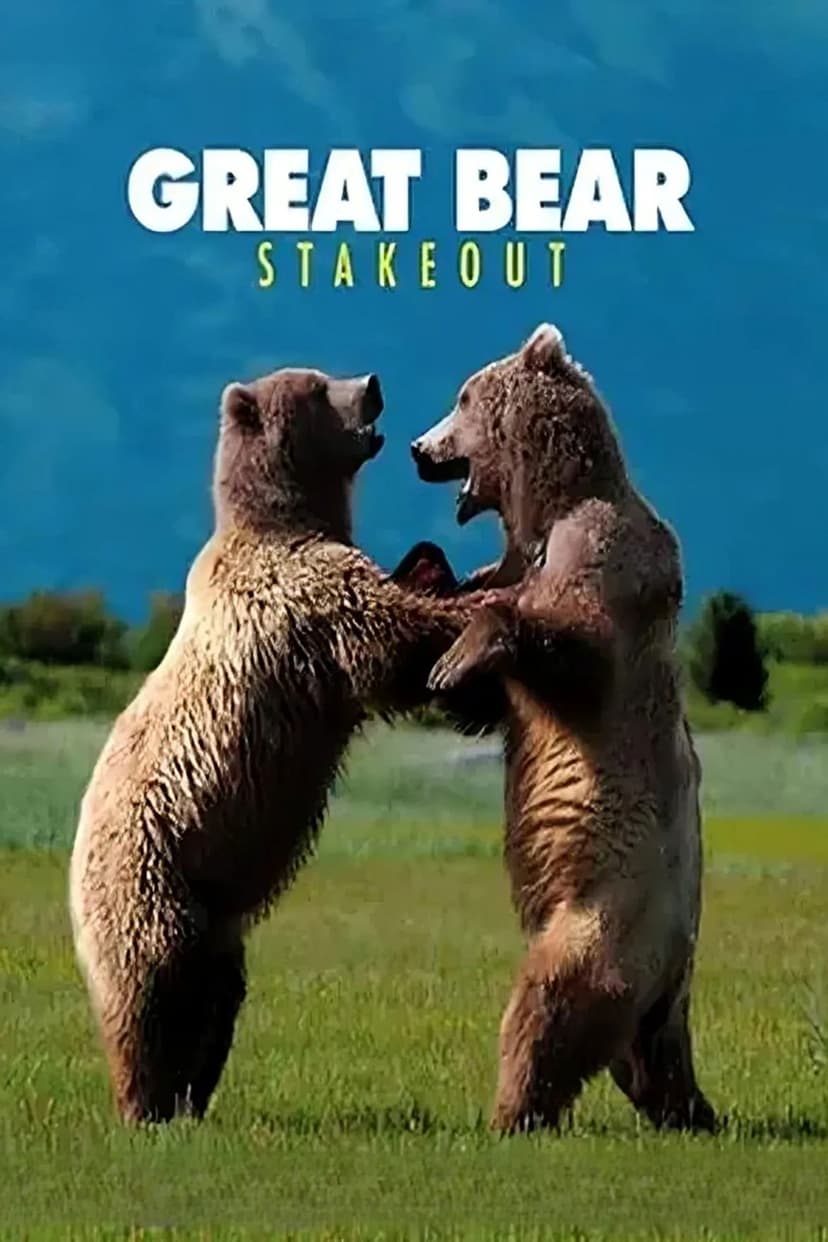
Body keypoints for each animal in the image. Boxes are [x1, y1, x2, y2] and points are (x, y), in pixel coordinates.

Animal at [69, 365, 486, 1125]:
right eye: (318, 387)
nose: (373, 382)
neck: (289, 518)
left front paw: (435, 566)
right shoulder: (299, 598)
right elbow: (386, 637)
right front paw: (475, 606)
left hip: (213, 916)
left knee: (217, 995)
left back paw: (190, 1094)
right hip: (150, 882)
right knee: (154, 993)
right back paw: (149, 1100)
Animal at [407, 323, 716, 1135]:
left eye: (462, 396)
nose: (419, 447)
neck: (546, 513)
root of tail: (676, 980)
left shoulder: (607, 561)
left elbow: (573, 647)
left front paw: (457, 655)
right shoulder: (519, 563)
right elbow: (491, 699)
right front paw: (430, 587)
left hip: (609, 918)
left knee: (550, 1003)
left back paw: (511, 1112)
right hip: (645, 994)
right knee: (638, 1061)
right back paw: (687, 1109)